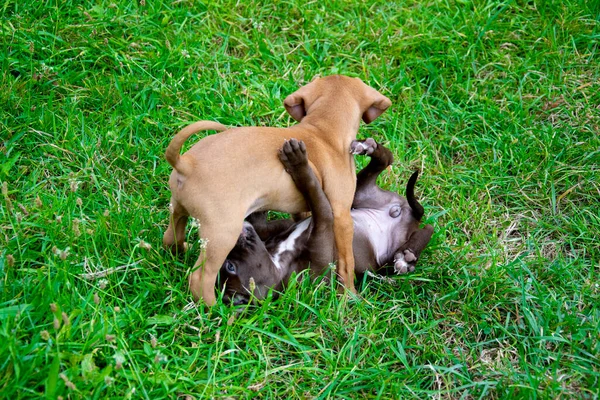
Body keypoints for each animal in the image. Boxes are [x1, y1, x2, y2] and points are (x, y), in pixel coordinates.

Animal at [162, 76, 392, 306]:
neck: (322, 133)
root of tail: (186, 164)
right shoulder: (342, 215)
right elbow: (347, 262)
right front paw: (350, 296)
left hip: (179, 210)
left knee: (170, 239)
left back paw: (182, 251)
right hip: (222, 234)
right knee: (201, 279)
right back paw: (215, 308)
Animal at [218, 138, 434, 304]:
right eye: (230, 266)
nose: (235, 236)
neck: (278, 259)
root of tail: (404, 212)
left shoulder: (282, 228)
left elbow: (261, 224)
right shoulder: (323, 225)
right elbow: (314, 191)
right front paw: (298, 162)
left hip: (356, 195)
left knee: (387, 161)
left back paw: (368, 147)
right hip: (385, 254)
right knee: (427, 230)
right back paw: (406, 256)